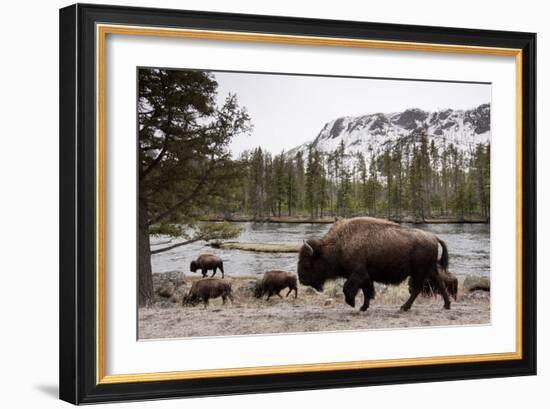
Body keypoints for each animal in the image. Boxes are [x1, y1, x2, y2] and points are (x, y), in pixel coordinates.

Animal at [302, 218, 452, 310]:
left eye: (308, 264)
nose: (302, 280)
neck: (339, 244)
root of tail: (434, 237)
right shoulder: (366, 277)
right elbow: (367, 291)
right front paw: (363, 307)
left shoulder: (358, 274)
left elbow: (348, 288)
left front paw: (352, 303)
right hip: (429, 270)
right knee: (439, 284)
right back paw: (446, 305)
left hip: (419, 272)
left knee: (417, 289)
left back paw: (404, 307)